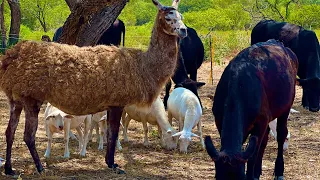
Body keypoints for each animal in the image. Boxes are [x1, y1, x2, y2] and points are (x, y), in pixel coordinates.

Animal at [205, 39, 298, 180]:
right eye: (218, 177)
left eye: (241, 178)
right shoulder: (219, 120)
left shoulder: (261, 121)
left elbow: (252, 155)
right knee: (264, 141)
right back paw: (257, 171)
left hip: (285, 108)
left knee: (281, 135)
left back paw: (279, 171)